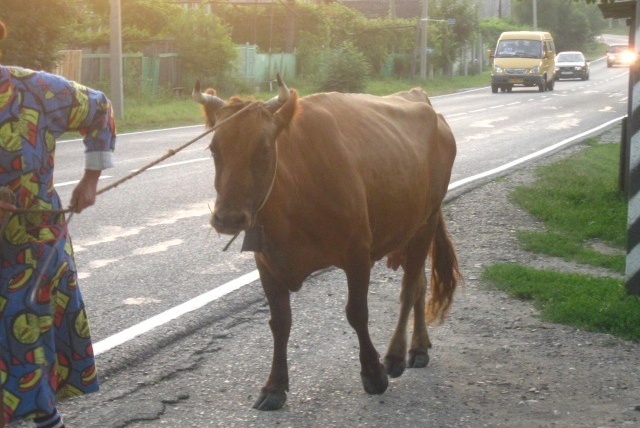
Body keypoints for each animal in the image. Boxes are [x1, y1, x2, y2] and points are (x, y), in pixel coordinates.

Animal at [193, 75, 460, 411]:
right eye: (214, 148)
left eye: (264, 148)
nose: (228, 218)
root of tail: (422, 100)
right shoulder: (266, 262)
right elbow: (280, 322)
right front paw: (274, 386)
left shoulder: (358, 252)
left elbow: (357, 312)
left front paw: (373, 373)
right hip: (411, 228)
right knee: (421, 284)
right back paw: (419, 347)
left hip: (427, 219)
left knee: (410, 288)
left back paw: (397, 355)